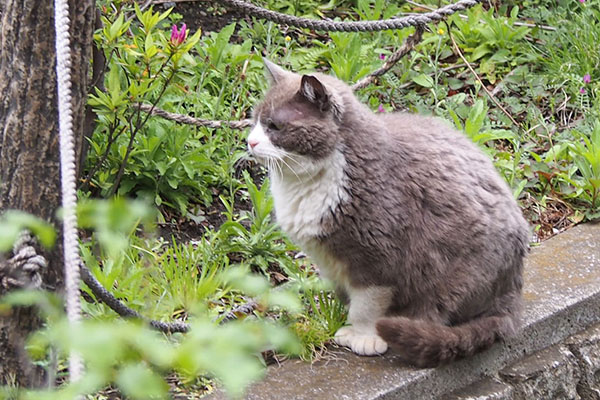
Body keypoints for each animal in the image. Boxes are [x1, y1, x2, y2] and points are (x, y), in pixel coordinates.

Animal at [246, 57, 528, 368]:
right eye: (255, 120)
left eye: (275, 126)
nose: (250, 142)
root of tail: (512, 291)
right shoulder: (330, 261)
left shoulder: (378, 259)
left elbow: (366, 306)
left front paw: (363, 337)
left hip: (453, 275)